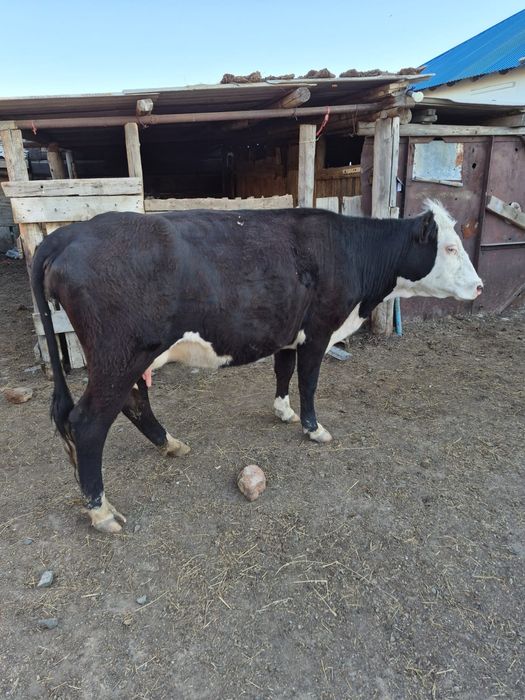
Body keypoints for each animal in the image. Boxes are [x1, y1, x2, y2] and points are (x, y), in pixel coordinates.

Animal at [31, 199, 483, 533]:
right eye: (450, 248)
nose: (480, 286)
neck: (350, 252)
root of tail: (71, 231)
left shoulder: (288, 331)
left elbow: (283, 372)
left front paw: (283, 412)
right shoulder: (319, 330)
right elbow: (309, 382)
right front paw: (313, 428)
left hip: (131, 357)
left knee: (133, 403)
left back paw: (170, 444)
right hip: (120, 355)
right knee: (88, 422)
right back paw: (101, 511)